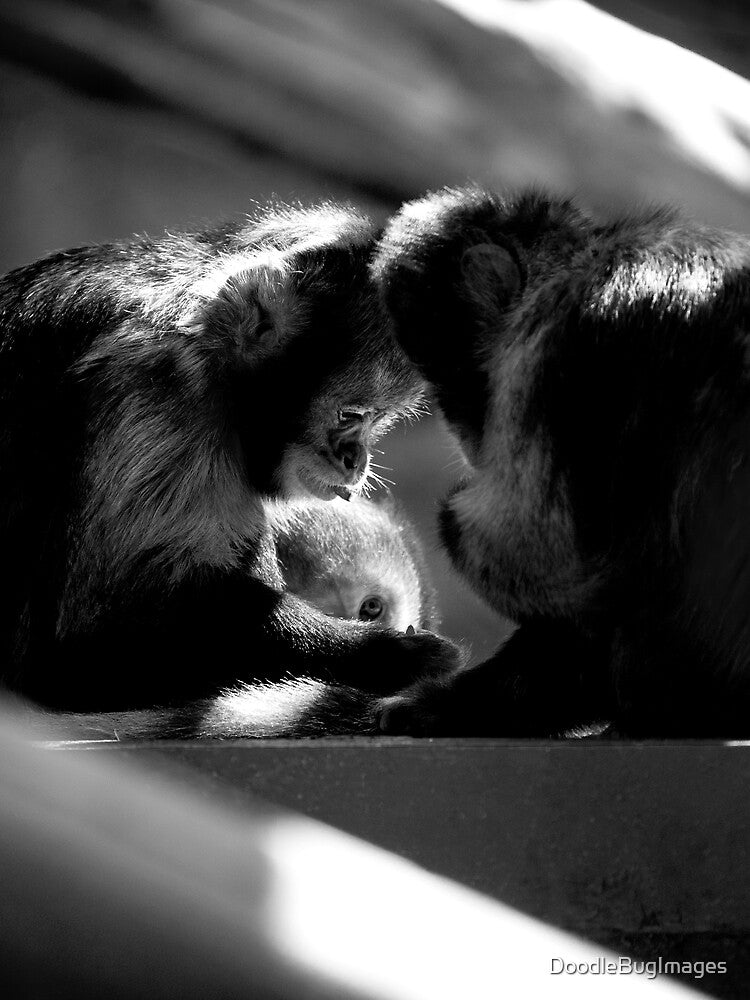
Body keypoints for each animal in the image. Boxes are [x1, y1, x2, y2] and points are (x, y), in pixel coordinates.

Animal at [0, 202, 461, 713]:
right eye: (350, 415)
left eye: (375, 421)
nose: (356, 460)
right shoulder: (157, 387)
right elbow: (82, 642)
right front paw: (386, 657)